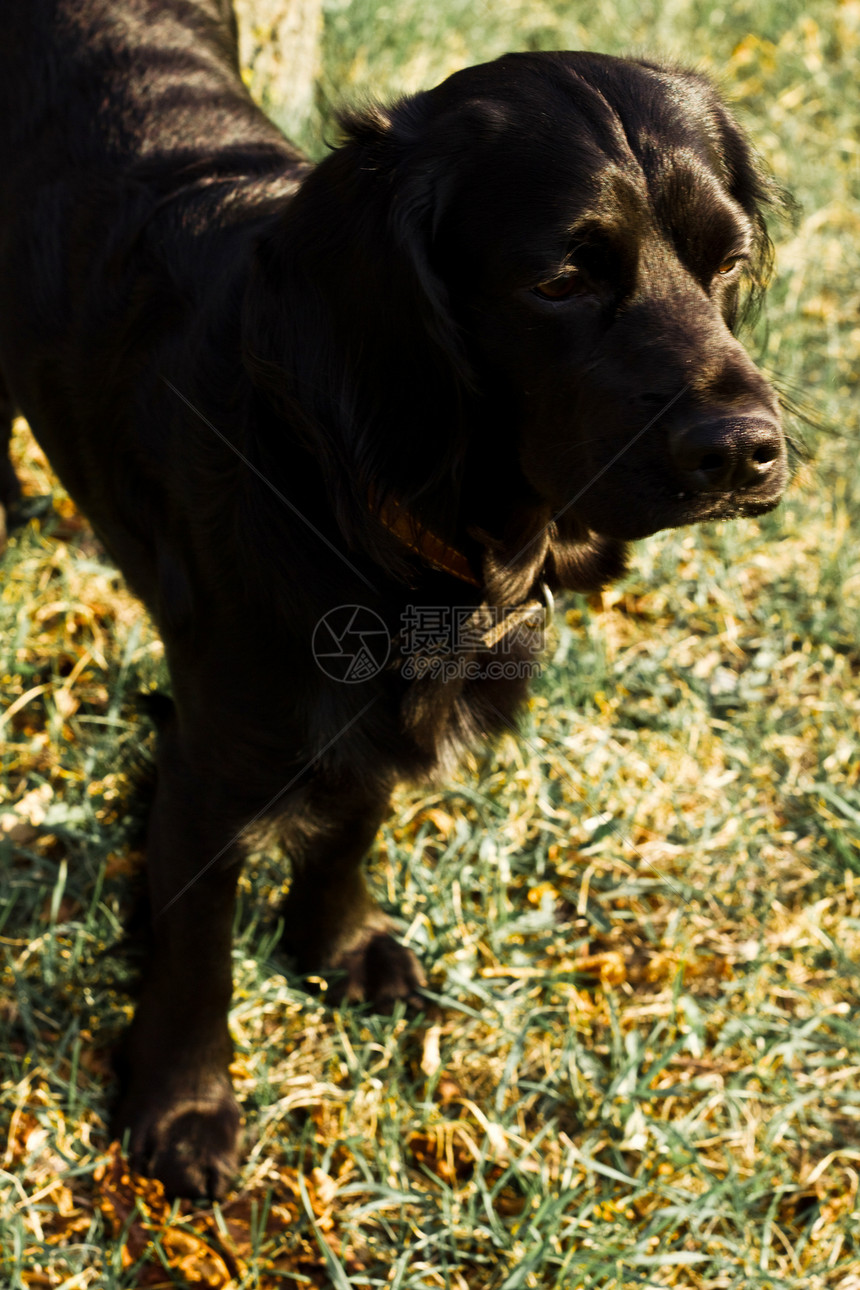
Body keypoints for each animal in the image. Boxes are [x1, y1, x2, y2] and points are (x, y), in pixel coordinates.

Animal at [0, 0, 789, 1197]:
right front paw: (184, 1106)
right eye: (559, 280)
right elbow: (195, 948)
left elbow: (354, 820)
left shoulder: (376, 722)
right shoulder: (208, 757)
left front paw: (330, 946)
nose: (746, 451)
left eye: (726, 260)